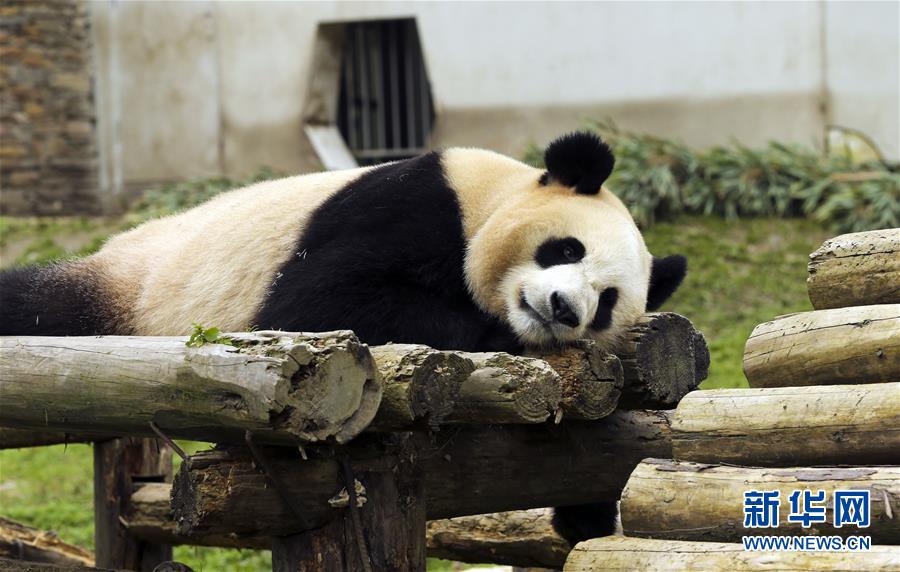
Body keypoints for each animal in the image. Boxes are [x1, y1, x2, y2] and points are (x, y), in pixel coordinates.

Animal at [0, 132, 684, 544]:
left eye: (608, 302)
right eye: (565, 249)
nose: (564, 309)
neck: (488, 198)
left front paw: (589, 513)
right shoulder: (412, 205)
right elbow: (320, 301)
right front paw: (489, 328)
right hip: (134, 290)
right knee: (38, 304)